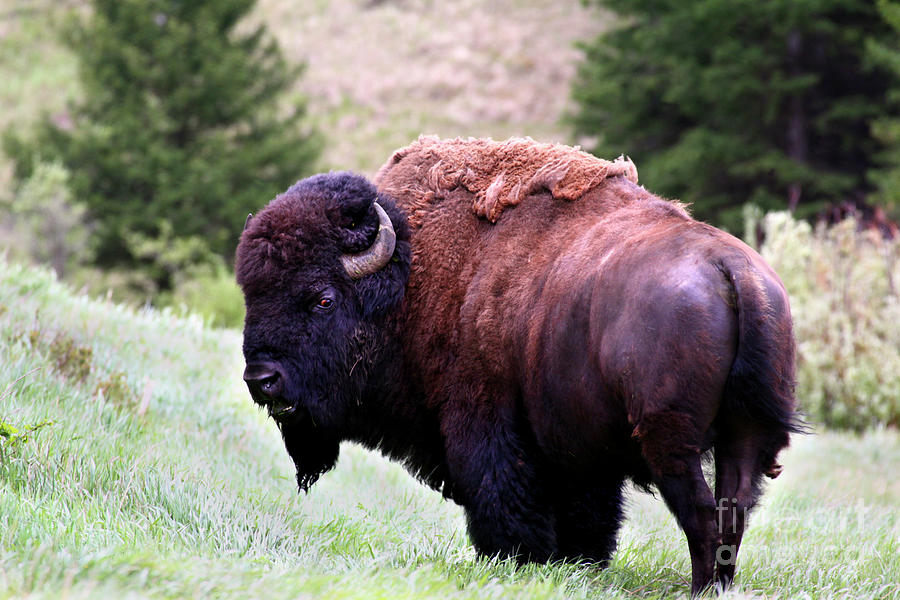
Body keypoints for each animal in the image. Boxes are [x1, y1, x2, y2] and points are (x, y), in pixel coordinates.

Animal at [234, 137, 800, 596]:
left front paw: (516, 562)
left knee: (702, 515)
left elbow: (505, 499)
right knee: (732, 512)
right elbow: (586, 513)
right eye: (251, 295)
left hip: (672, 443)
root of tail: (731, 269)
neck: (411, 280)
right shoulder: (577, 450)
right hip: (742, 437)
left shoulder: (485, 427)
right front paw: (575, 566)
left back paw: (701, 589)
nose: (262, 380)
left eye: (323, 299)